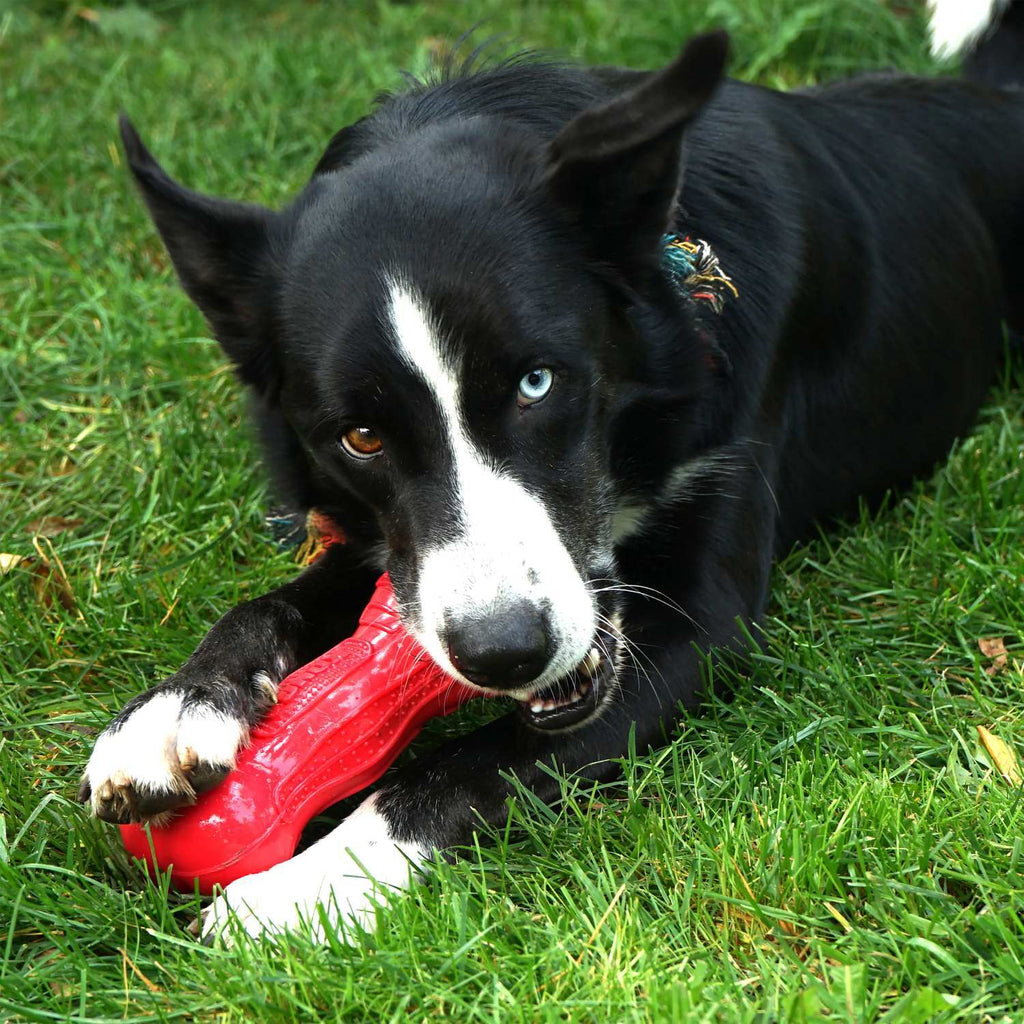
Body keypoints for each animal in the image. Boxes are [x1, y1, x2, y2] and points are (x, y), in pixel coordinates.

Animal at [77, 2, 1024, 942]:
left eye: (538, 382)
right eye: (361, 437)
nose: (504, 653)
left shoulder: (702, 617)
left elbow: (469, 764)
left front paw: (303, 888)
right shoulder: (397, 545)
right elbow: (275, 601)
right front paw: (173, 711)